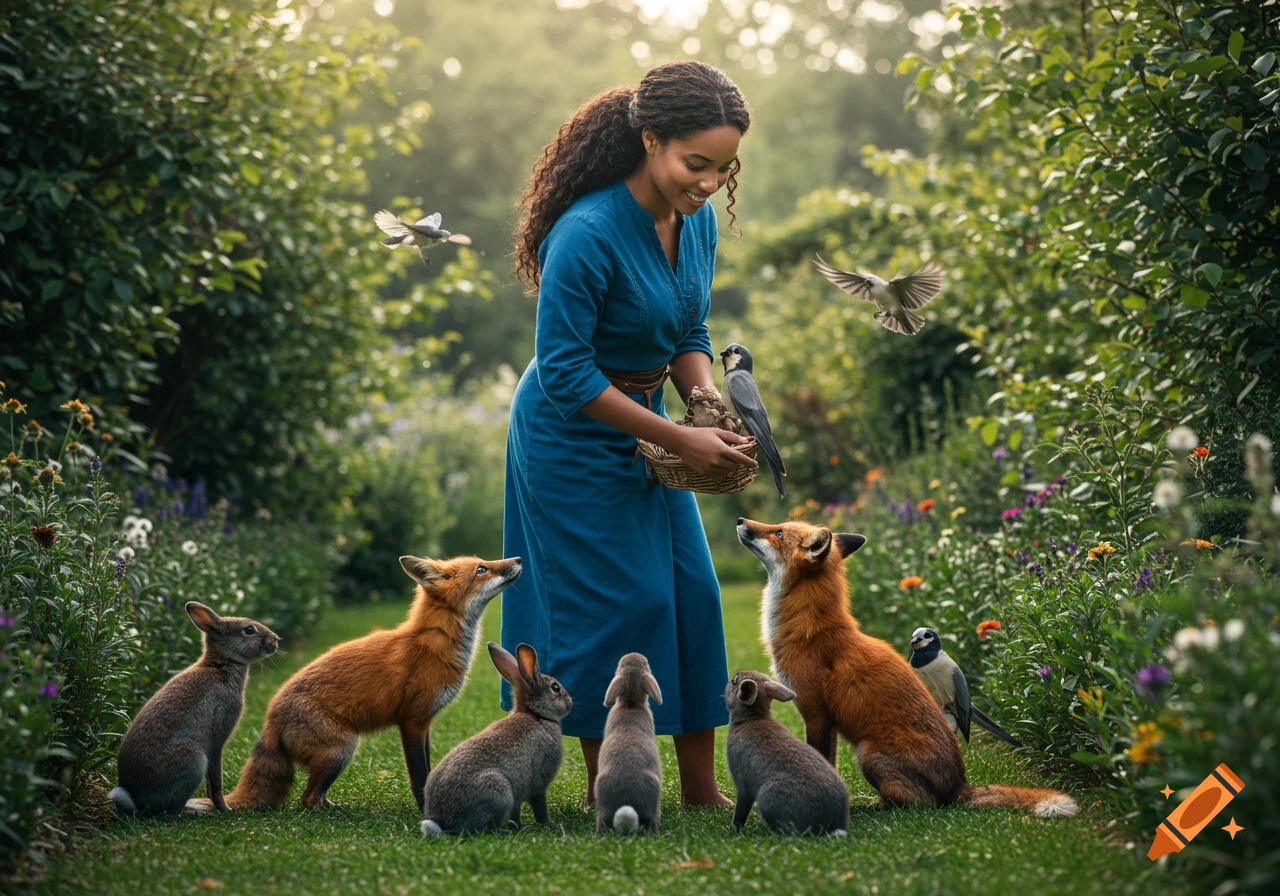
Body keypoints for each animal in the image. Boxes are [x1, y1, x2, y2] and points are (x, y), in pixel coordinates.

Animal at [109, 602, 280, 815]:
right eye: (249, 630)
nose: (276, 639)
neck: (222, 665)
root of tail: (138, 802)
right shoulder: (216, 740)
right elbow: (215, 782)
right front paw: (226, 809)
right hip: (194, 760)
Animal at [198, 554, 522, 812]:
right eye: (482, 569)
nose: (518, 559)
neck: (432, 646)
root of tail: (270, 717)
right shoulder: (412, 720)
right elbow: (419, 775)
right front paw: (425, 809)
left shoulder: (425, 722)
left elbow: (428, 769)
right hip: (341, 749)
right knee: (307, 799)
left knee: (314, 795)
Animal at [421, 642, 572, 835]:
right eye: (555, 688)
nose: (570, 702)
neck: (536, 715)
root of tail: (441, 820)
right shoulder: (539, 783)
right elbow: (540, 807)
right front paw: (549, 824)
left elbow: (516, 813)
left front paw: (518, 826)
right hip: (499, 792)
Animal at [725, 670, 849, 836]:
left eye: (734, 681)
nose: (730, 678)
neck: (751, 717)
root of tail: (830, 826)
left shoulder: (743, 786)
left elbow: (741, 810)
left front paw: (732, 828)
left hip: (768, 795)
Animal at [735, 518, 1077, 819]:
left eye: (778, 532)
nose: (740, 520)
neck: (810, 628)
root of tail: (959, 783)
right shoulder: (826, 720)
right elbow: (829, 762)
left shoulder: (815, 711)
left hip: (868, 754)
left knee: (924, 803)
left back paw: (877, 806)